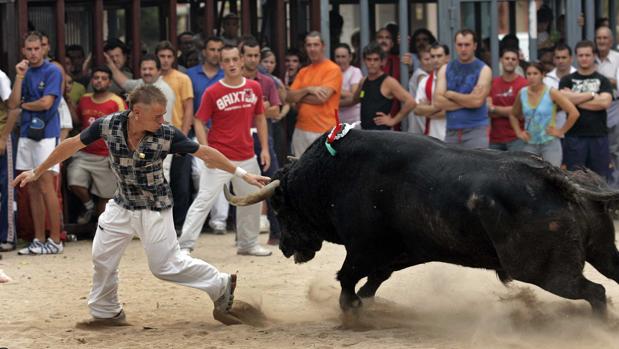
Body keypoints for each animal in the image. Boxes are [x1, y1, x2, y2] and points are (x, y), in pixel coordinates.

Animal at [225, 128, 619, 316]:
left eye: (280, 208)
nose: (286, 247)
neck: (333, 175)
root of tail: (554, 175)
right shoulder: (400, 253)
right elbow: (373, 281)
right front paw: (365, 305)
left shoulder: (363, 249)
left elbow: (348, 279)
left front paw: (352, 311)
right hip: (602, 252)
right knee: (607, 281)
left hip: (545, 271)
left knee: (595, 292)